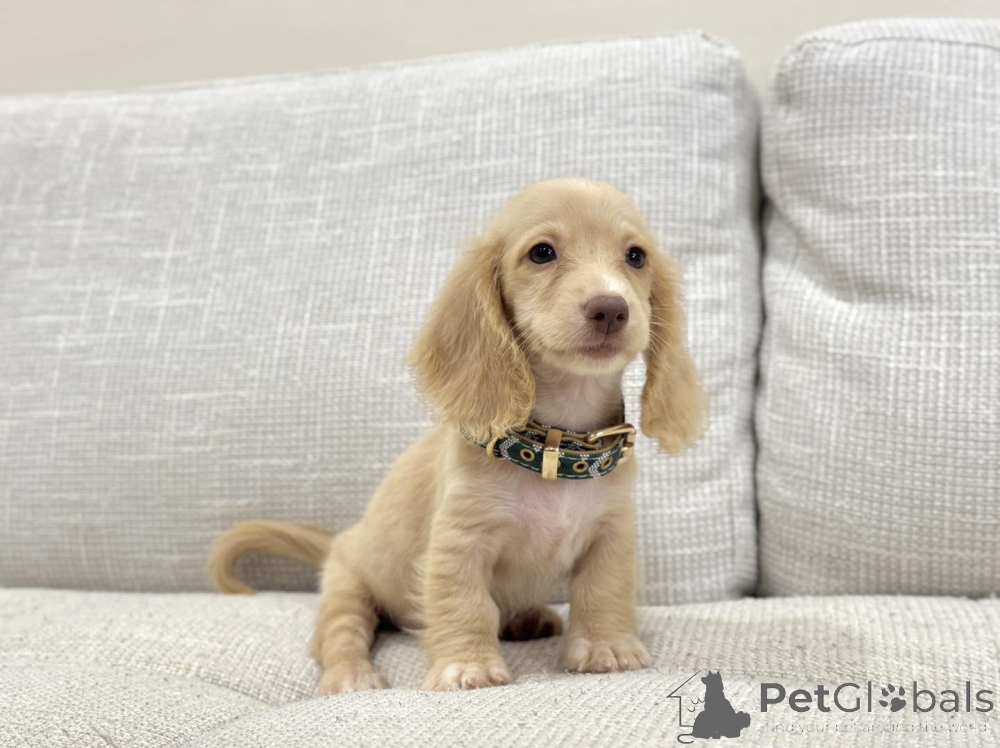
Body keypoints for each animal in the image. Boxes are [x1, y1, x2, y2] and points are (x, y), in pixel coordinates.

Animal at [208, 177, 706, 693]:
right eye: (542, 252)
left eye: (635, 256)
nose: (610, 308)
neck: (553, 446)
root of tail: (338, 542)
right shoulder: (460, 542)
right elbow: (465, 603)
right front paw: (468, 664)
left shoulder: (611, 535)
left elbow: (603, 592)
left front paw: (605, 646)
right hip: (348, 585)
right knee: (341, 633)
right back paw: (351, 675)